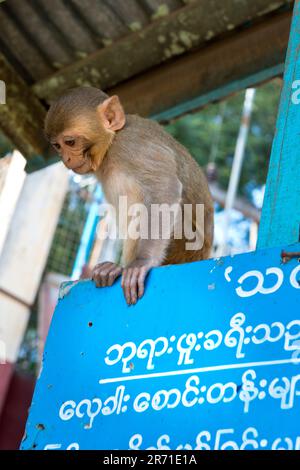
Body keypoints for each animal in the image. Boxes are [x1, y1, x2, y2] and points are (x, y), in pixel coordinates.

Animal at [44, 86, 213, 306]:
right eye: (57, 146)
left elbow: (165, 188)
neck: (111, 145)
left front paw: (143, 261)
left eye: (70, 142)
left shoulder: (132, 146)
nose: (66, 159)